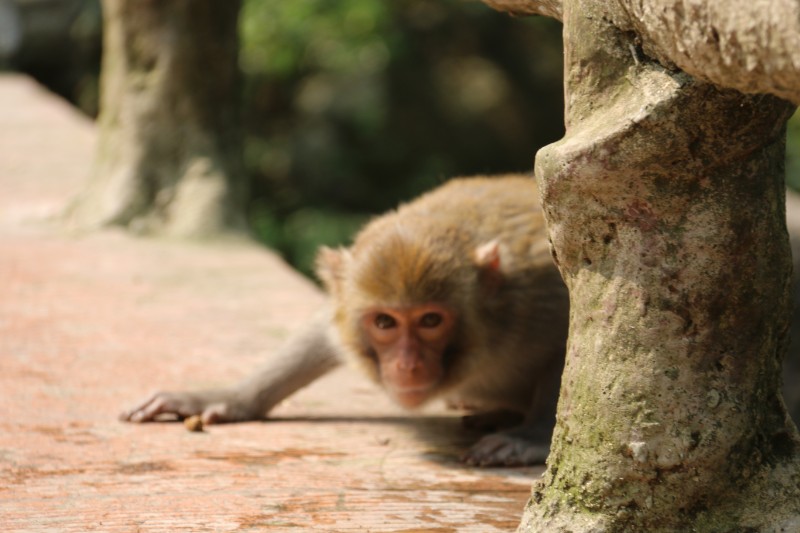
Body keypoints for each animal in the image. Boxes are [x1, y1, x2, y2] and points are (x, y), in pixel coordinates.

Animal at [117, 175, 568, 466]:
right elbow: (323, 332)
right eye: (385, 323)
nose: (407, 365)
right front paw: (225, 396)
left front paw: (530, 438)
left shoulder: (537, 297)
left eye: (430, 320)